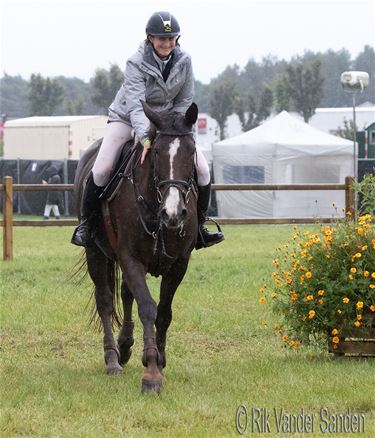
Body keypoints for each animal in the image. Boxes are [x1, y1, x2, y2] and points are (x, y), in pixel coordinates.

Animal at [74, 102, 201, 394]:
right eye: (156, 152)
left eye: (191, 152)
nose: (173, 213)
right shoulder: (131, 258)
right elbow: (148, 308)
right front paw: (151, 373)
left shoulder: (179, 263)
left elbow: (163, 312)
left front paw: (159, 360)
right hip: (95, 252)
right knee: (105, 300)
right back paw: (112, 359)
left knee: (124, 293)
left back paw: (125, 347)